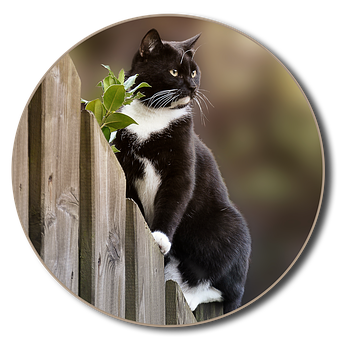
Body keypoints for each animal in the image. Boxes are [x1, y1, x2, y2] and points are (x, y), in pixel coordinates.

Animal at [115, 29, 251, 314]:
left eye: (194, 72)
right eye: (175, 72)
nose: (193, 87)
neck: (152, 117)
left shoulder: (182, 164)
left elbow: (175, 197)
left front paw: (160, 237)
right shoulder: (125, 159)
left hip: (227, 227)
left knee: (215, 283)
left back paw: (190, 295)